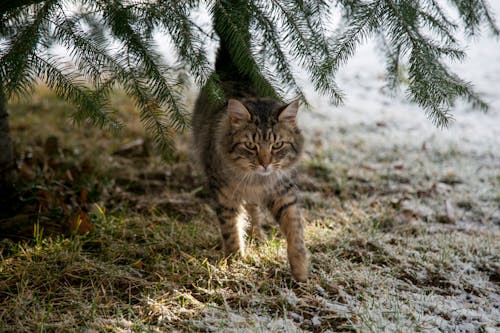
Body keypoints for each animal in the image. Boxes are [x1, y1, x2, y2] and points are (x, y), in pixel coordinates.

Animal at [191, 47, 308, 282]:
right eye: (250, 146)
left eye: (277, 145)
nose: (265, 164)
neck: (256, 182)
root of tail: (233, 67)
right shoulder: (225, 195)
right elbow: (231, 230)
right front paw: (235, 261)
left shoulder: (284, 194)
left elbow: (295, 231)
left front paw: (301, 272)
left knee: (254, 212)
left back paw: (259, 236)